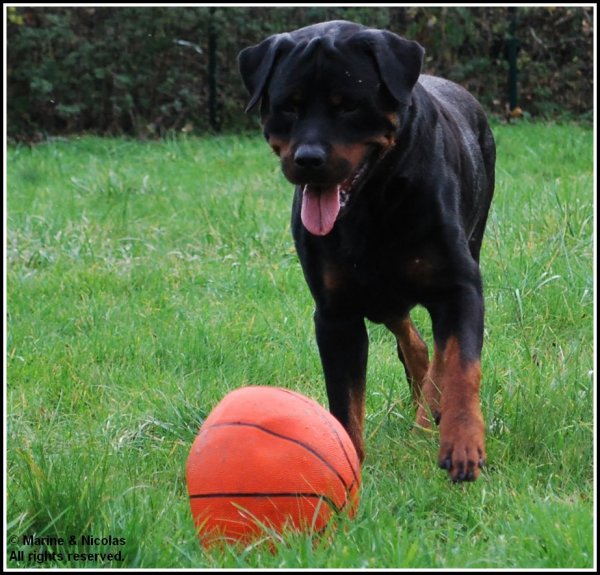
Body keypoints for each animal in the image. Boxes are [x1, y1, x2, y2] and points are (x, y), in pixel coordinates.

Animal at [239, 20, 496, 482]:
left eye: (348, 107)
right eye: (288, 107)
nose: (308, 158)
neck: (374, 205)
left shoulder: (459, 286)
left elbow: (462, 366)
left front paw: (463, 442)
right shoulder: (335, 312)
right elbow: (344, 402)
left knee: (438, 352)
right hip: (379, 292)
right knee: (413, 340)